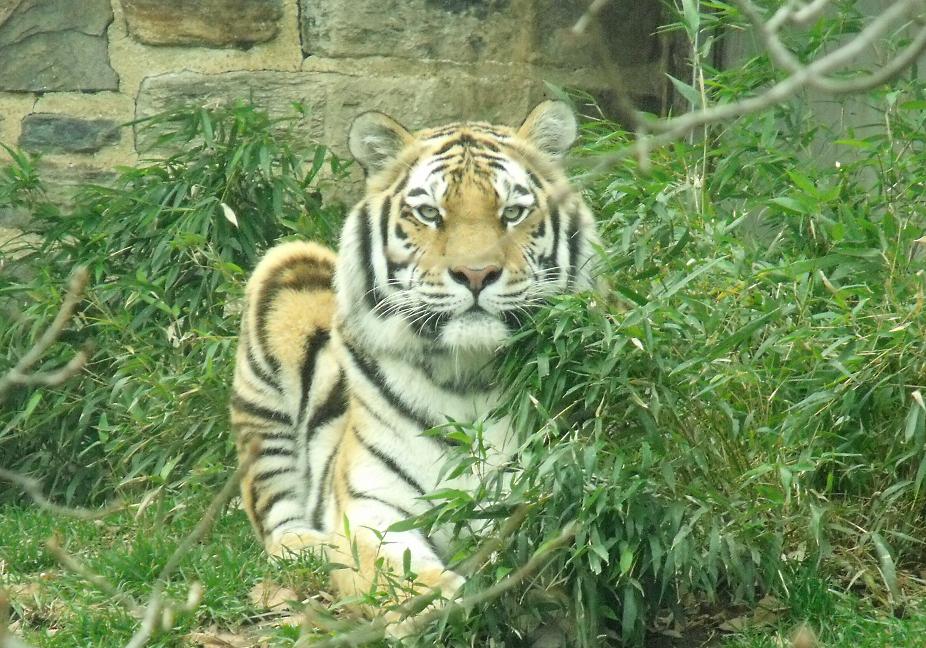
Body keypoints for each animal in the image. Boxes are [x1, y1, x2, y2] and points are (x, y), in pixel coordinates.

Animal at [229, 100, 599, 631]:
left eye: (512, 213)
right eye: (429, 213)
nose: (476, 274)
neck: (469, 377)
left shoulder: (554, 492)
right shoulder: (371, 510)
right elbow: (405, 579)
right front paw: (450, 611)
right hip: (282, 278)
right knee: (276, 519)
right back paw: (312, 552)